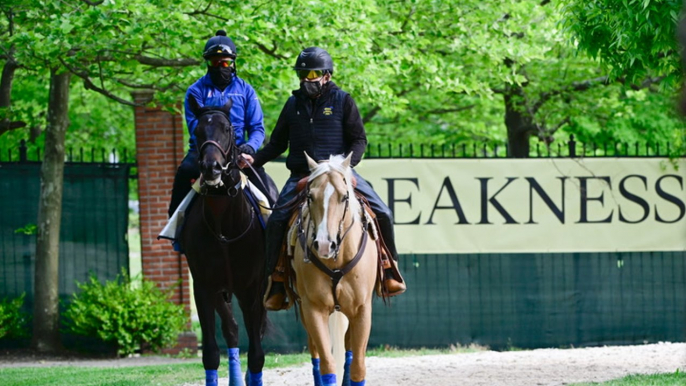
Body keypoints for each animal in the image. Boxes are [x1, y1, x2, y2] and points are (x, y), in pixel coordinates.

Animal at [181, 95, 268, 386]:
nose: (212, 167)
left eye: (227, 128)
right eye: (197, 130)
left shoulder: (252, 288)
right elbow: (210, 353)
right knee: (231, 329)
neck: (225, 230)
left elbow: (257, 354)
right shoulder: (204, 288)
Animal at [292, 152, 378, 386]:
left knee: (349, 353)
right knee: (316, 353)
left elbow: (358, 367)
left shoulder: (362, 310)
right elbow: (327, 364)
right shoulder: (313, 309)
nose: (323, 244)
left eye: (344, 197)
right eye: (310, 197)